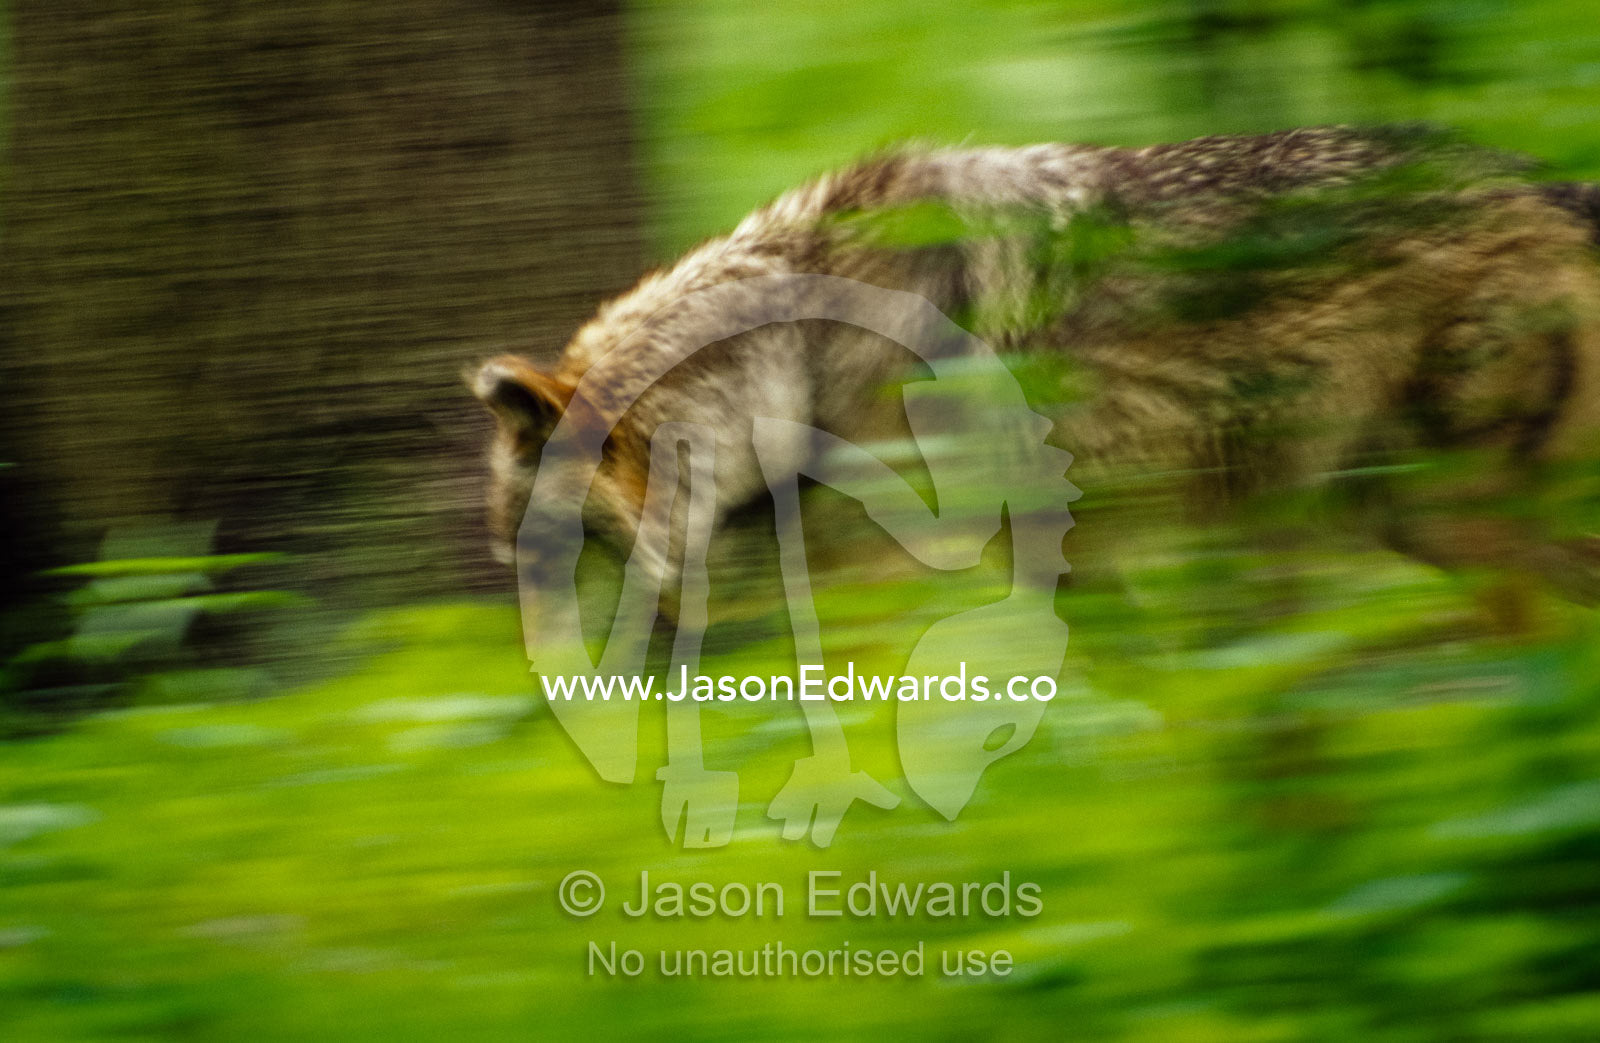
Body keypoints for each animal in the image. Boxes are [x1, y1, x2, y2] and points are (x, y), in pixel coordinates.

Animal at [474, 126, 1600, 607]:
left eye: (574, 546)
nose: (648, 654)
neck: (789, 362)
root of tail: (1551, 185)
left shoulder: (890, 569)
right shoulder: (1062, 565)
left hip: (1434, 513)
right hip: (1398, 513)